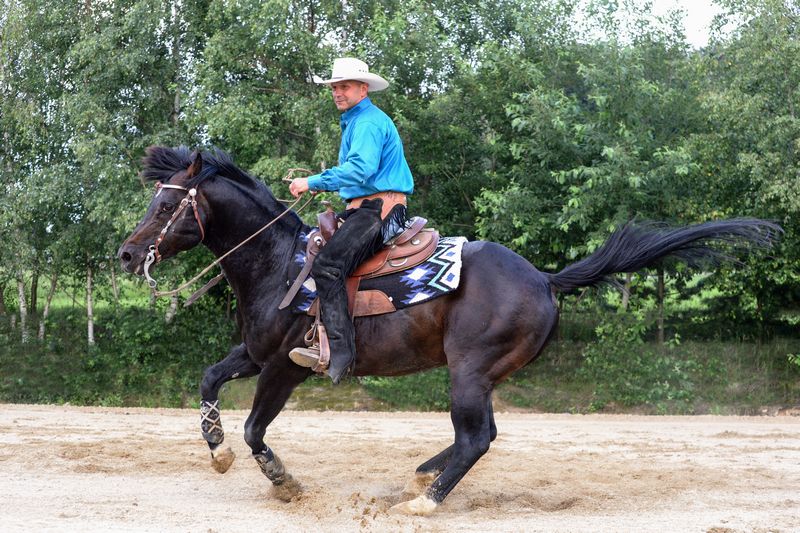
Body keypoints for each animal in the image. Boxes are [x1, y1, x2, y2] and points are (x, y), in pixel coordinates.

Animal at [119, 147, 780, 516]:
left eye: (166, 206)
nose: (127, 254)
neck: (279, 264)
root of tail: (545, 278)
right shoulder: (254, 354)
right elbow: (209, 381)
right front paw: (217, 451)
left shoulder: (285, 366)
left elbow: (257, 429)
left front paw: (285, 482)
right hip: (482, 376)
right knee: (482, 435)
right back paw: (423, 473)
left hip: (468, 370)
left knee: (477, 438)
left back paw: (425, 500)